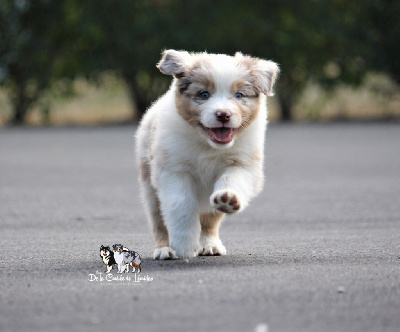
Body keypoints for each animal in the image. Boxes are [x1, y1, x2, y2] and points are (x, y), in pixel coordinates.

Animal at [136, 50, 280, 260]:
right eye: (204, 95)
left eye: (239, 95)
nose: (223, 114)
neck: (208, 145)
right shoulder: (172, 170)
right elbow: (181, 204)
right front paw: (184, 244)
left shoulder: (243, 164)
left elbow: (233, 179)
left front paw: (228, 197)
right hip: (150, 188)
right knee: (159, 220)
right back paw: (165, 249)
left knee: (210, 220)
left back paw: (210, 245)